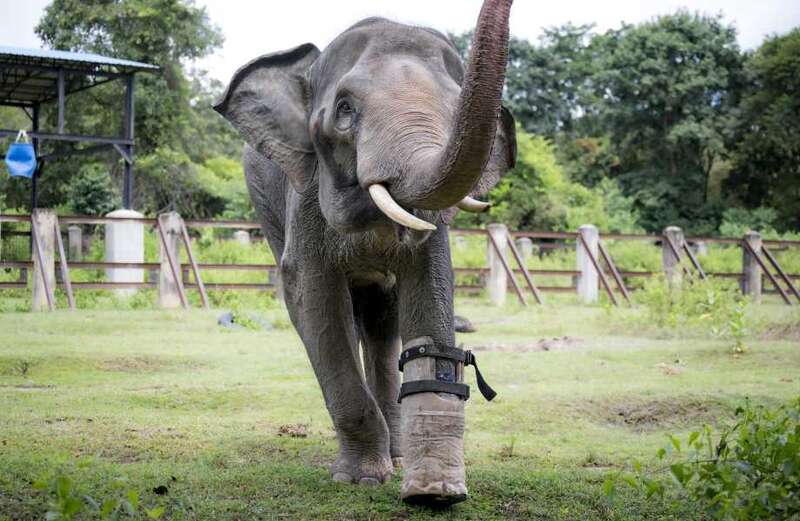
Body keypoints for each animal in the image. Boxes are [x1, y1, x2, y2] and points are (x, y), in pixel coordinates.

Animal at [214, 0, 512, 506]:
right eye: (345, 110)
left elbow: (429, 290)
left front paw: (431, 487)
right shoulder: (306, 196)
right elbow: (313, 299)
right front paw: (359, 479)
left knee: (381, 319)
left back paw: (397, 454)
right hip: (264, 202)